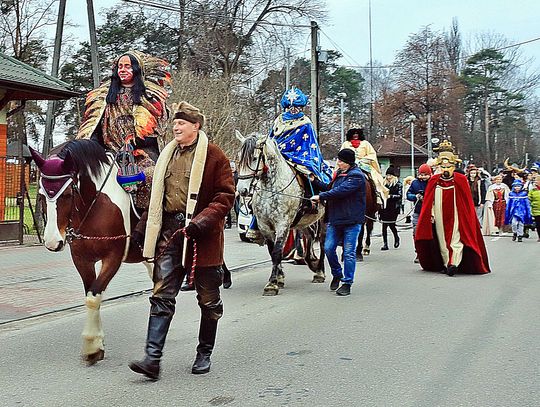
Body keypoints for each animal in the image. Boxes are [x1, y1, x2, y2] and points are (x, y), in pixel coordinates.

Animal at [30, 141, 149, 366]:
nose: (52, 242)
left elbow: (94, 296)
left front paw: (92, 345)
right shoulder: (82, 259)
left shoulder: (113, 258)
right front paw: (97, 344)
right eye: (41, 195)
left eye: (67, 194)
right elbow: (92, 294)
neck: (95, 204)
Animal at [236, 132, 324, 294]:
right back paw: (310, 261)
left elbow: (277, 251)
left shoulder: (282, 224)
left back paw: (320, 272)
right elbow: (273, 252)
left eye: (254, 158)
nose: (242, 190)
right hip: (304, 222)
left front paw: (272, 284)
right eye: (238, 158)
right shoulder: (265, 225)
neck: (272, 188)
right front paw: (279, 278)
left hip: (323, 221)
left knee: (323, 243)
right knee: (309, 239)